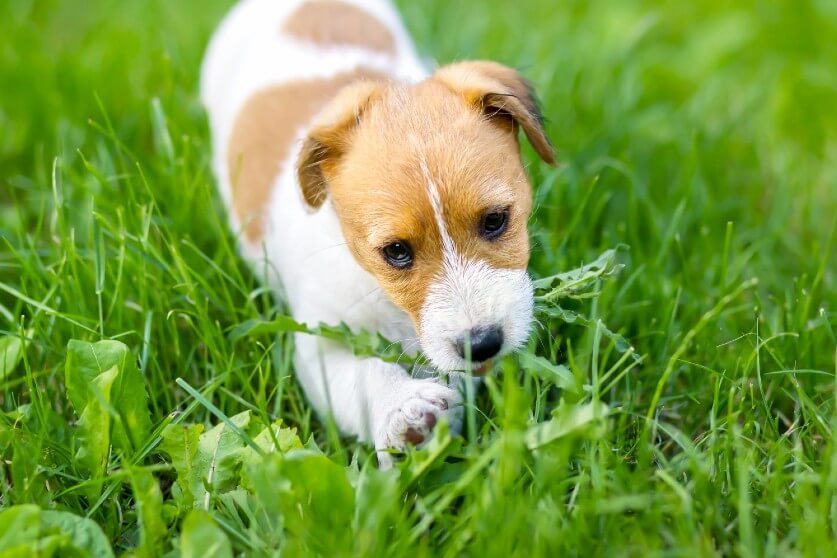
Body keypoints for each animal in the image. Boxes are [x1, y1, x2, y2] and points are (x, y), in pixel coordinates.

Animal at [202, 0, 556, 468]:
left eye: (496, 220)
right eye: (396, 251)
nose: (480, 345)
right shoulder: (320, 346)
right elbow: (363, 375)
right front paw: (402, 408)